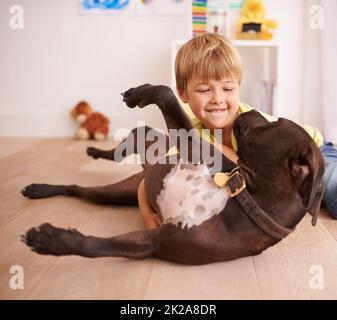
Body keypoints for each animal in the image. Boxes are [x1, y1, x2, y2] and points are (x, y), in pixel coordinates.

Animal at [20, 84, 322, 264]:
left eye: (275, 122)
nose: (251, 109)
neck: (242, 195)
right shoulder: (196, 148)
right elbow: (166, 93)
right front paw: (140, 93)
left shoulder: (154, 242)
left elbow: (96, 247)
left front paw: (53, 240)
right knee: (85, 178)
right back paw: (73, 165)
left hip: (115, 194)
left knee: (83, 189)